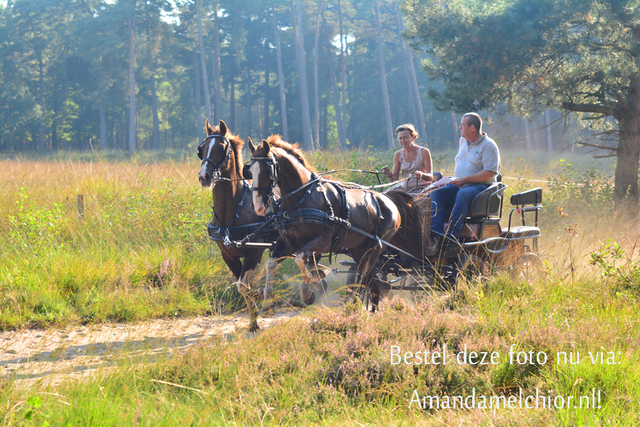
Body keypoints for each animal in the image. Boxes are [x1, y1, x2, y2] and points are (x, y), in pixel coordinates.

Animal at [195, 120, 276, 334]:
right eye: (202, 149)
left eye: (221, 148)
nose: (204, 176)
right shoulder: (227, 255)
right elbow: (242, 286)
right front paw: (253, 320)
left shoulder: (254, 252)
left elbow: (243, 286)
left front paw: (258, 305)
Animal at [248, 136, 432, 310]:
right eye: (250, 170)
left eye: (267, 170)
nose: (258, 207)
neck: (303, 197)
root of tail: (389, 200)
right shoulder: (288, 242)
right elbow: (271, 264)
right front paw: (268, 301)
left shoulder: (323, 240)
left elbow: (300, 259)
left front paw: (308, 291)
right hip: (358, 249)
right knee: (372, 281)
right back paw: (369, 309)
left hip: (375, 248)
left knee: (364, 278)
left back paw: (352, 304)